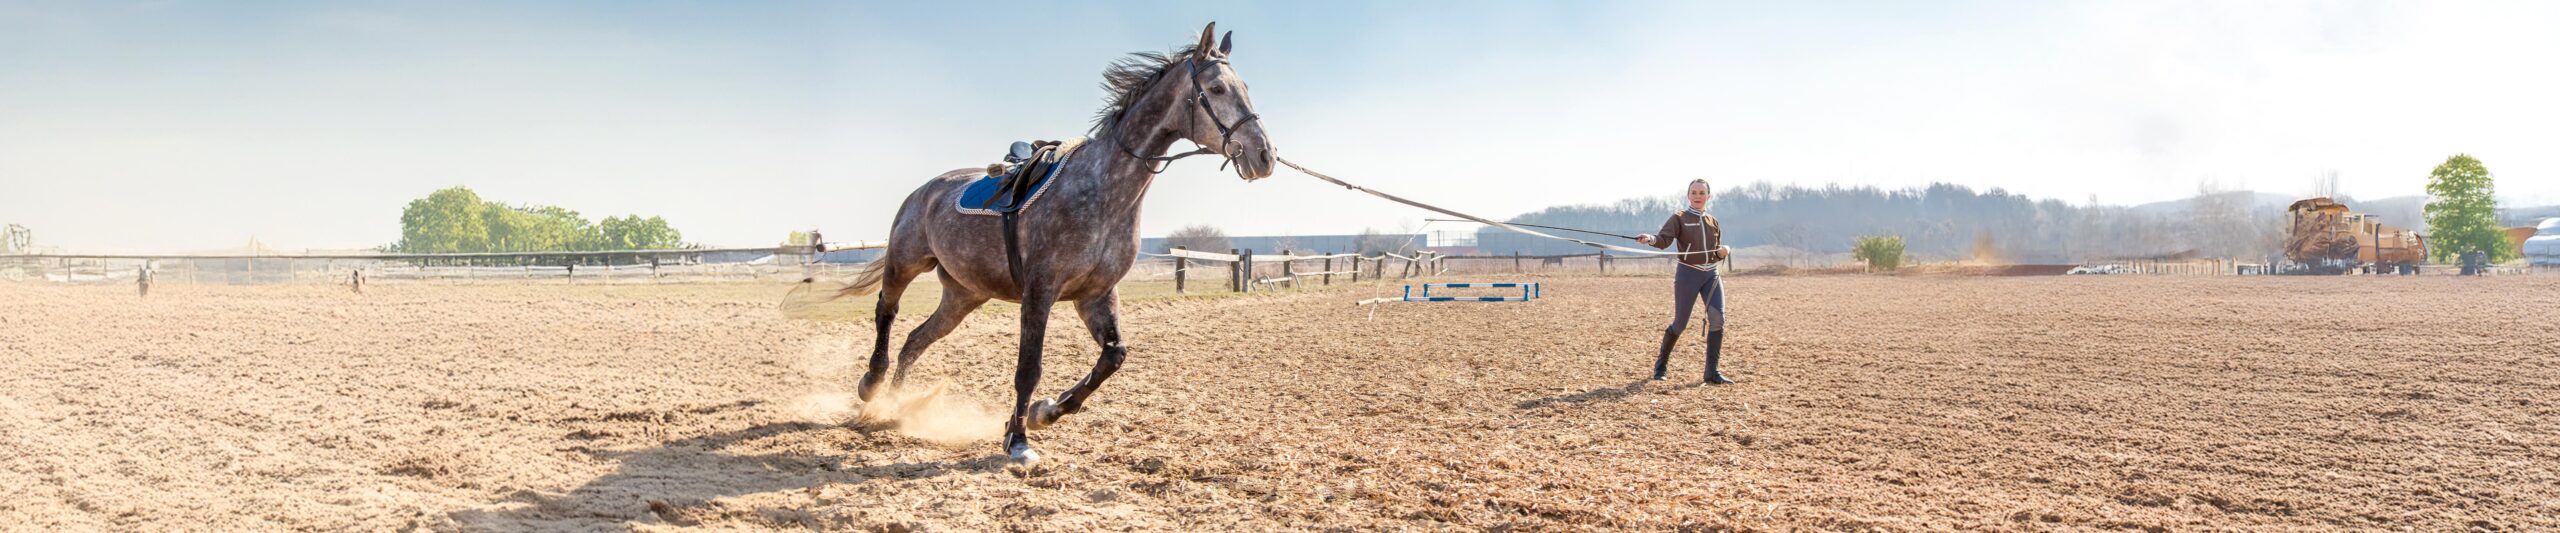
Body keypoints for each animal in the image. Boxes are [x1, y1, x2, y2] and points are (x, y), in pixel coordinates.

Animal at [802, 23, 1276, 463]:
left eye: (1246, 89)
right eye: (1217, 88)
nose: (1264, 156)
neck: (1103, 190)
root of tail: (926, 189)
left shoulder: (1096, 294)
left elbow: (1113, 356)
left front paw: (1045, 411)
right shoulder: (1040, 292)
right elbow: (1028, 368)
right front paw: (1017, 440)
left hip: (964, 295)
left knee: (916, 340)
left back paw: (896, 407)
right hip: (906, 261)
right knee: (887, 310)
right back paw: (872, 386)